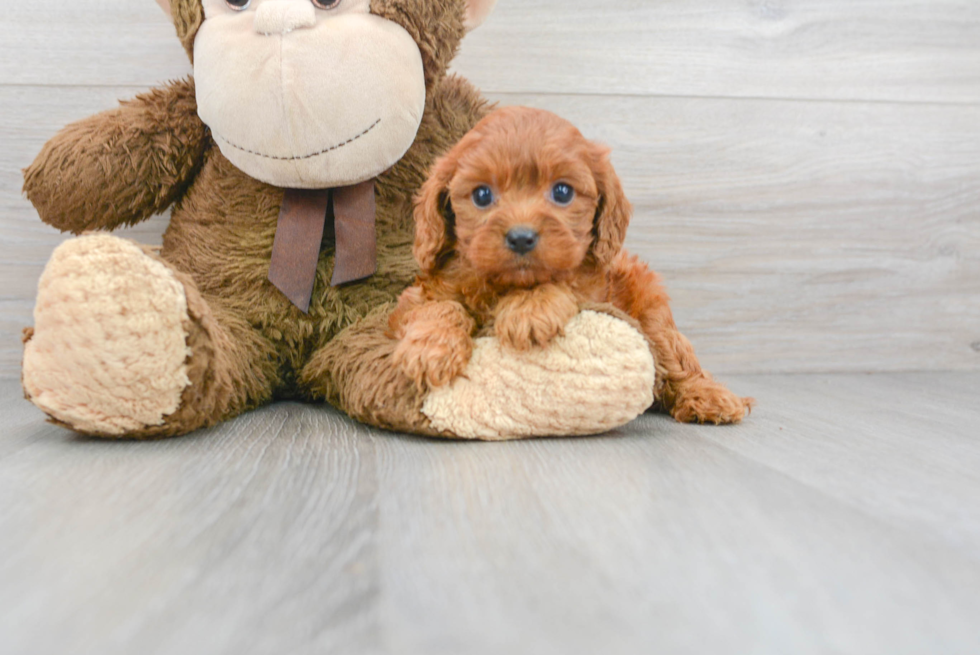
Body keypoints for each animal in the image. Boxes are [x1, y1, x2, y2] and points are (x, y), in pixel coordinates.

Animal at [388, 107, 752, 426]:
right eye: (481, 195)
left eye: (562, 192)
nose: (521, 237)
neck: (506, 284)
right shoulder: (411, 301)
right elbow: (438, 307)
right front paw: (429, 348)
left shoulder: (592, 290)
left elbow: (561, 283)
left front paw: (529, 309)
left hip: (651, 311)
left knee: (678, 360)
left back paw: (710, 397)